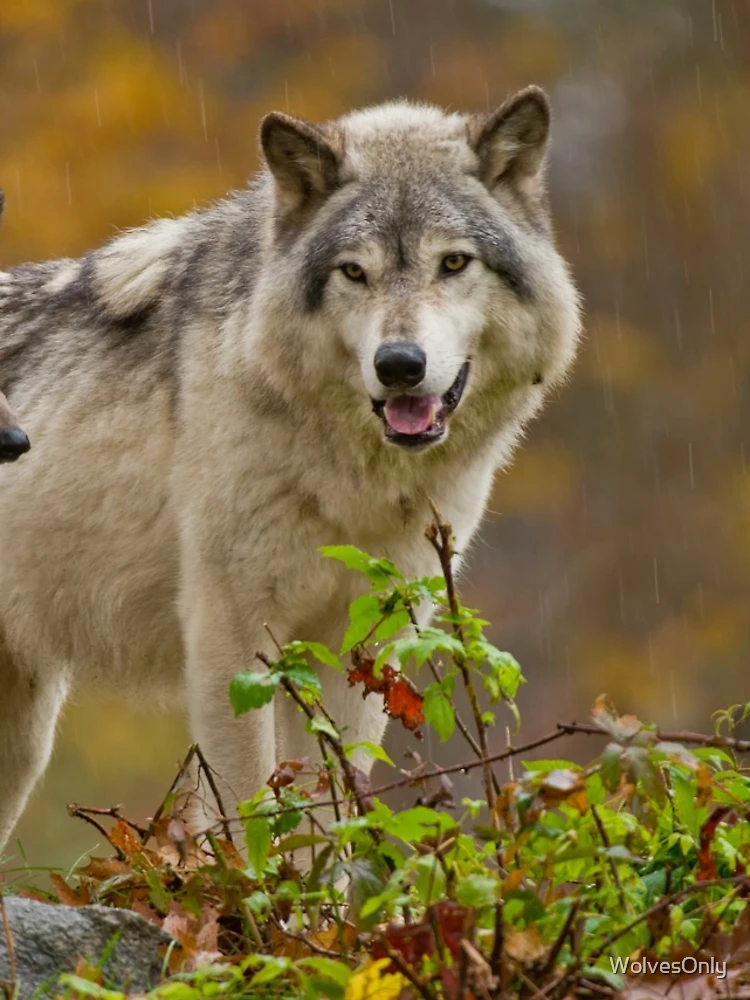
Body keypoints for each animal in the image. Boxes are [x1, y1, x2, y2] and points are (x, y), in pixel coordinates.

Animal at [0, 87, 580, 849]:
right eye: (354, 271)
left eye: (454, 264)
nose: (400, 365)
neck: (351, 479)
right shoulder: (230, 637)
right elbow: (252, 809)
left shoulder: (361, 643)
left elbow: (332, 812)